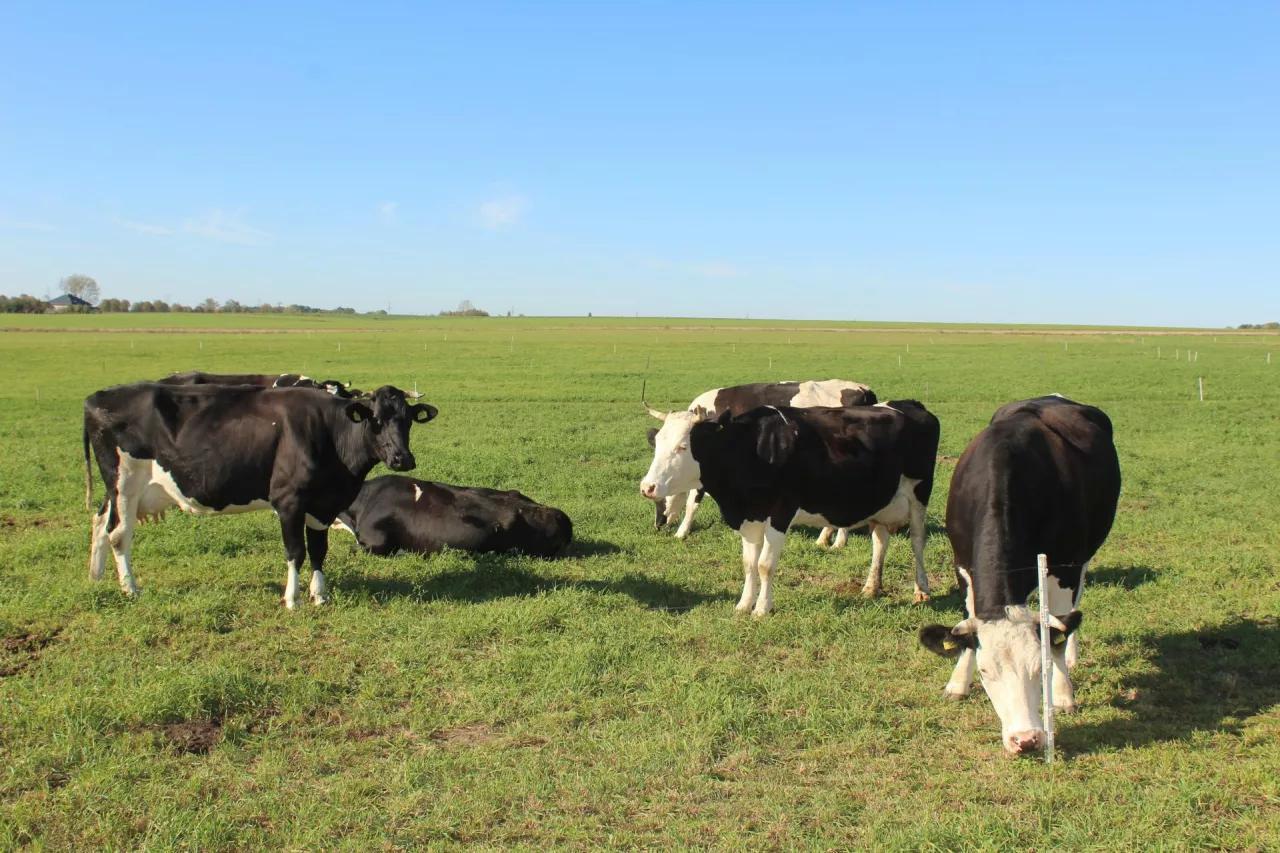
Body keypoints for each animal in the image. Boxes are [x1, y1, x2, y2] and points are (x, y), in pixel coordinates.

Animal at [83, 379, 440, 604]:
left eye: (407, 419)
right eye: (375, 419)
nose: (402, 459)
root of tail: (97, 397)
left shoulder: (323, 505)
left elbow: (319, 550)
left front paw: (320, 595)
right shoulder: (289, 500)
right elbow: (295, 551)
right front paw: (293, 599)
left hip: (117, 490)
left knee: (100, 522)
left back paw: (95, 578)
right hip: (126, 482)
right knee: (119, 534)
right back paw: (131, 589)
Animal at [640, 379, 880, 537]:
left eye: (682, 447)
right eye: (658, 445)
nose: (657, 524)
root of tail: (864, 389)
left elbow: (692, 502)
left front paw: (682, 532)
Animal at [640, 399, 942, 612]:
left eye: (683, 446)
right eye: (657, 443)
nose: (647, 487)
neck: (751, 449)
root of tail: (911, 405)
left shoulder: (780, 512)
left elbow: (765, 565)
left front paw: (762, 609)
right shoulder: (750, 515)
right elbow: (749, 563)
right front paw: (743, 605)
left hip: (919, 493)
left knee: (917, 540)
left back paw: (921, 590)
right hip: (881, 503)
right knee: (880, 541)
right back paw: (870, 587)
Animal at [921, 391, 1121, 753]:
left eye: (1038, 669)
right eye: (985, 671)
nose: (1025, 739)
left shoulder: (1065, 565)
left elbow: (1055, 635)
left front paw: (1062, 693)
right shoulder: (963, 564)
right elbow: (968, 619)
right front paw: (957, 682)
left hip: (1084, 556)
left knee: (1072, 610)